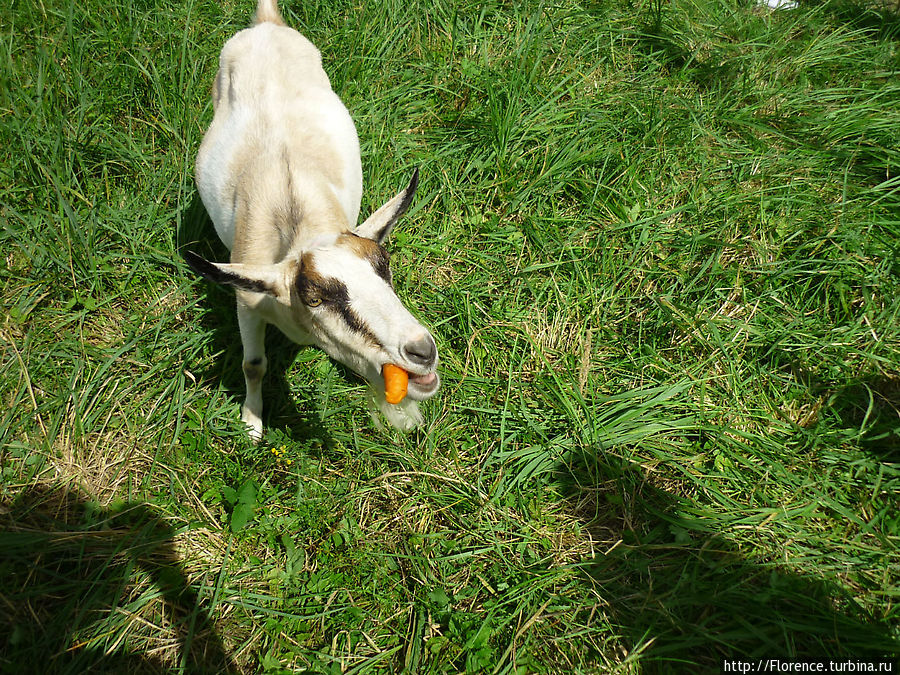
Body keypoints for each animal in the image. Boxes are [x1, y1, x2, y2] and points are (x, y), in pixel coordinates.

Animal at [185, 0, 440, 438]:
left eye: (384, 268)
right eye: (316, 298)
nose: (421, 351)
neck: (299, 226)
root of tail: (267, 24)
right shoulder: (246, 303)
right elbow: (253, 365)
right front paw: (252, 424)